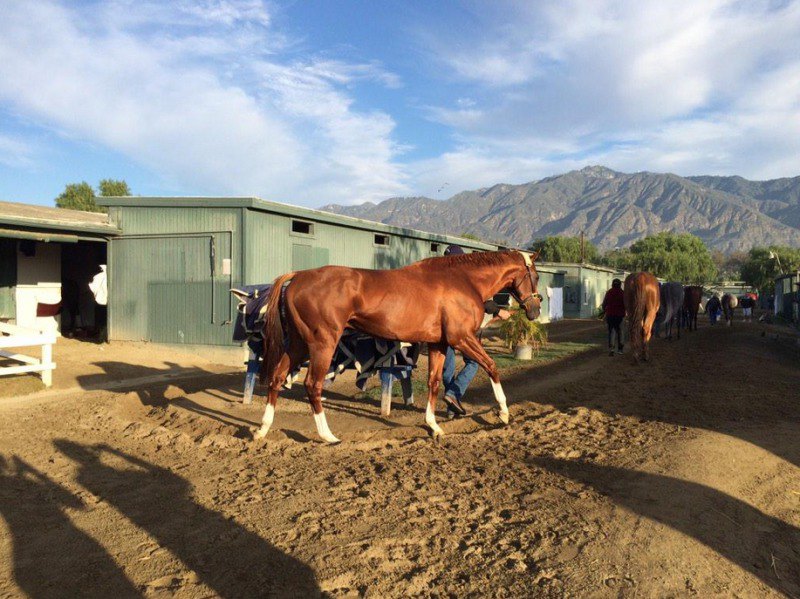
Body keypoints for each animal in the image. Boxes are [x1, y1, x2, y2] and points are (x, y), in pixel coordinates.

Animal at [256, 251, 544, 442]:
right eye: (536, 275)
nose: (535, 309)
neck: (462, 280)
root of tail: (299, 276)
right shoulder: (462, 338)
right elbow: (491, 366)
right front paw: (504, 414)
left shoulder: (439, 344)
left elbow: (434, 382)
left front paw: (434, 426)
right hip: (322, 344)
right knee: (312, 385)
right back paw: (328, 436)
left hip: (298, 345)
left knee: (277, 378)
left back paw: (262, 429)